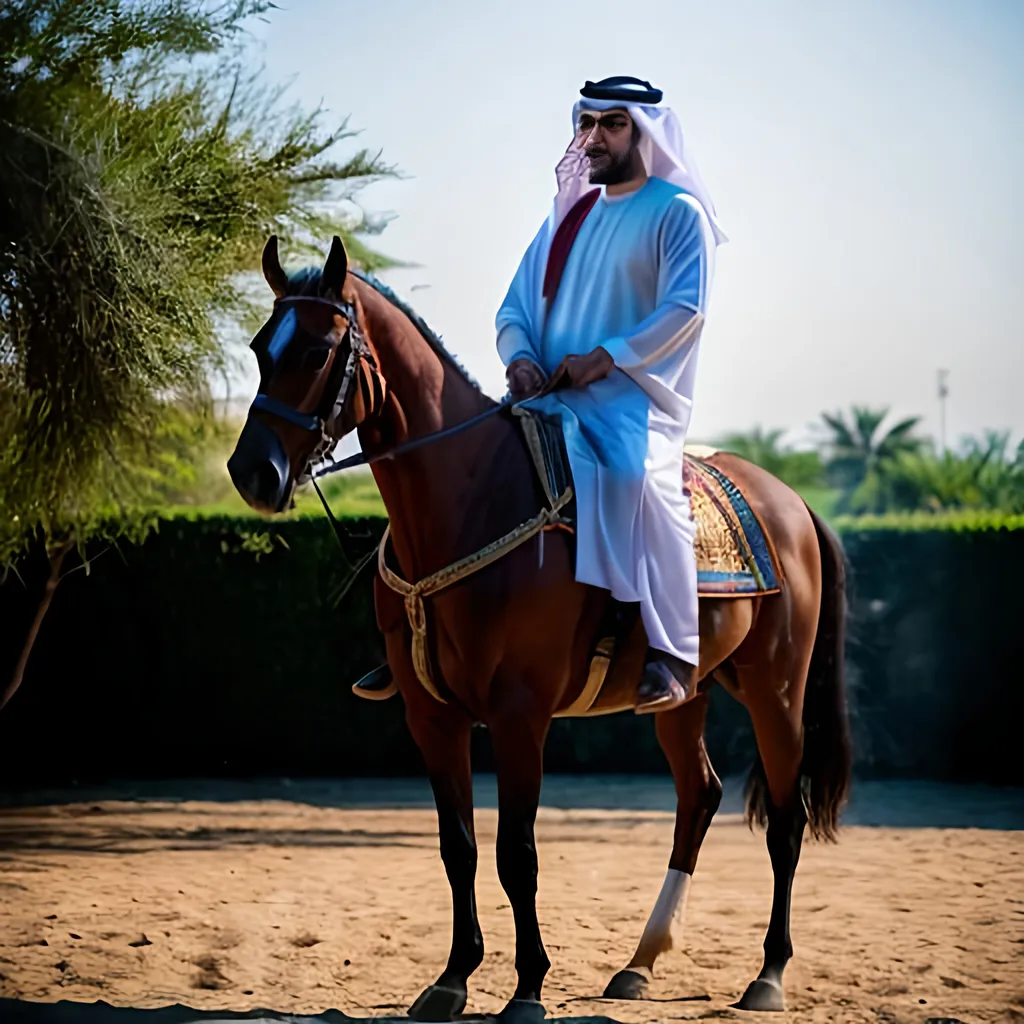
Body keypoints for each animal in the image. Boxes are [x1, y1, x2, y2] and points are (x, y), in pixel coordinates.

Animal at [228, 235, 851, 1019]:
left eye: (316, 351)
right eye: (260, 347)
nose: (252, 471)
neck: (473, 503)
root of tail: (788, 500)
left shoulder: (520, 715)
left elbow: (515, 853)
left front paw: (527, 987)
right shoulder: (432, 718)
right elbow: (458, 847)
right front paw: (453, 977)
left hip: (776, 690)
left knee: (785, 819)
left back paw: (767, 974)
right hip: (689, 694)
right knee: (699, 797)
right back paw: (641, 961)